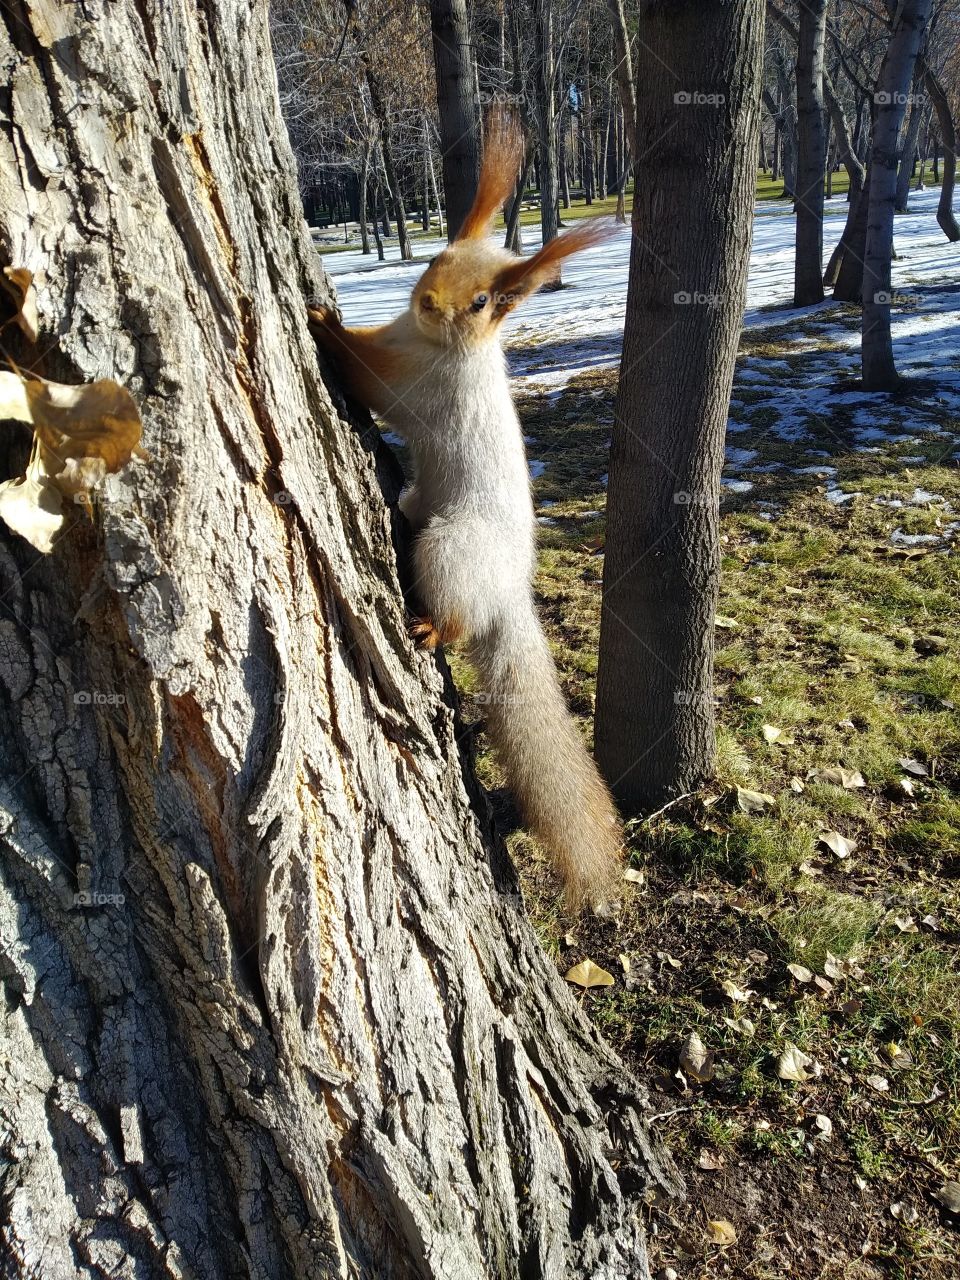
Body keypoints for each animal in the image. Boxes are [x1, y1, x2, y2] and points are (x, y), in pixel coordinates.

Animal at [308, 112, 622, 909]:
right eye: (438, 255)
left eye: (485, 302)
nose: (426, 300)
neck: (425, 340)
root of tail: (508, 592)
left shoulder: (412, 383)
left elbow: (366, 373)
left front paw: (324, 322)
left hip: (451, 550)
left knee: (453, 617)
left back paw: (429, 626)